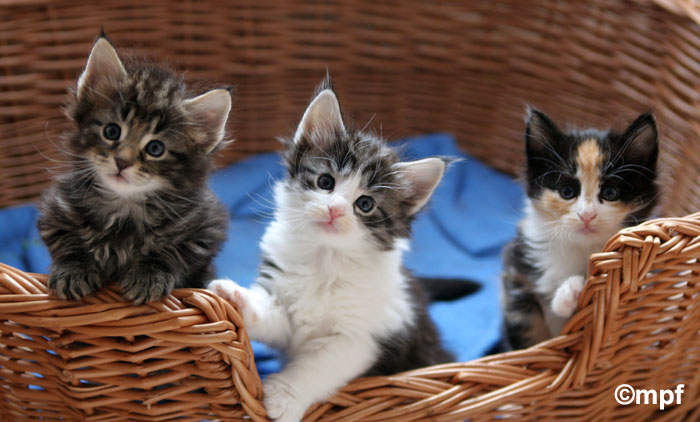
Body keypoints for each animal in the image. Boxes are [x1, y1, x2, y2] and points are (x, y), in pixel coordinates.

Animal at [37, 35, 232, 304]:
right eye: (111, 131)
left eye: (155, 148)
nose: (122, 162)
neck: (124, 208)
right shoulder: (55, 212)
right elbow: (67, 241)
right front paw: (73, 269)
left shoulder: (206, 230)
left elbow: (172, 252)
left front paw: (149, 275)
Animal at [208, 77, 454, 422]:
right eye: (326, 182)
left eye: (365, 204)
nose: (335, 209)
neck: (324, 259)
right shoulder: (285, 303)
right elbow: (273, 317)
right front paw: (237, 297)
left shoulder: (361, 338)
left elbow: (318, 366)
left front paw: (283, 397)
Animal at [500, 107, 659, 350]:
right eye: (567, 192)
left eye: (610, 193)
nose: (586, 215)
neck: (577, 247)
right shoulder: (516, 272)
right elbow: (527, 331)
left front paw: (572, 291)